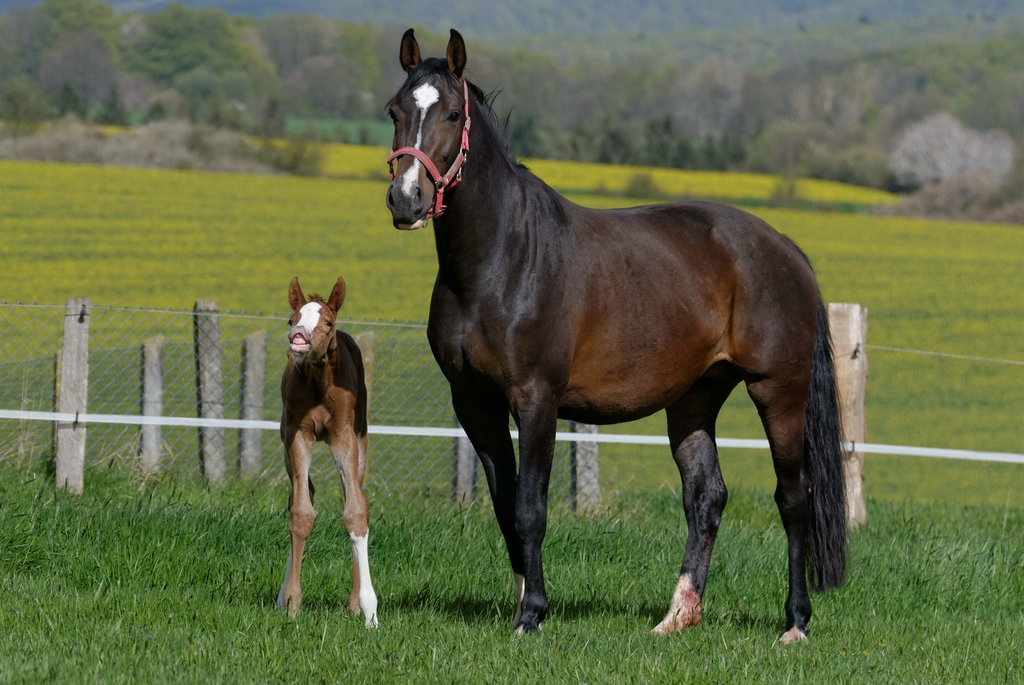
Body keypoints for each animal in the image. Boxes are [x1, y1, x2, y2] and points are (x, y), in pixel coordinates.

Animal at [276, 276, 380, 626]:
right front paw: (291, 602)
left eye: (328, 322)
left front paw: (369, 610)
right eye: (291, 319)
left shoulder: (344, 438)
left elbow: (355, 512)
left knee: (355, 494)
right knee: (300, 494)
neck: (319, 383)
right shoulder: (298, 435)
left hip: (361, 442)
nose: (298, 338)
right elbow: (301, 513)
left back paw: (354, 604)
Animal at [385, 28, 847, 643]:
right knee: (706, 498)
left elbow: (531, 508)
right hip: (695, 399)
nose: (405, 199)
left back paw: (795, 622)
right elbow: (506, 507)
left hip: (779, 391)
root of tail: (787, 248)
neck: (501, 261)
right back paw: (677, 616)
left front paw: (533, 615)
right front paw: (522, 604)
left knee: (794, 499)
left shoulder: (536, 401)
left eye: (453, 113)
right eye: (395, 110)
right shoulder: (475, 405)